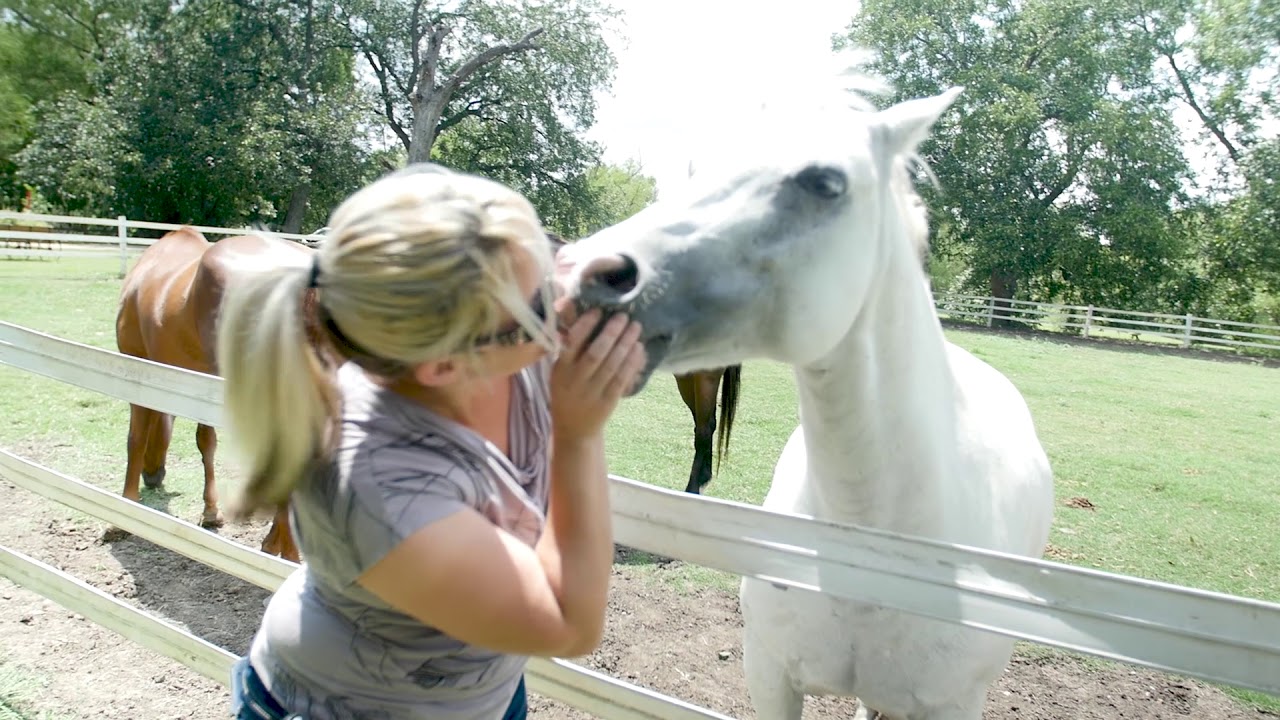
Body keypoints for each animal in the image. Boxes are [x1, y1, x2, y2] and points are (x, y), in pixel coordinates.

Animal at [115, 227, 306, 562]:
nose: (153, 477)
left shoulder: (135, 365)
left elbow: (135, 440)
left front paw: (124, 512)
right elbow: (207, 442)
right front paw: (212, 512)